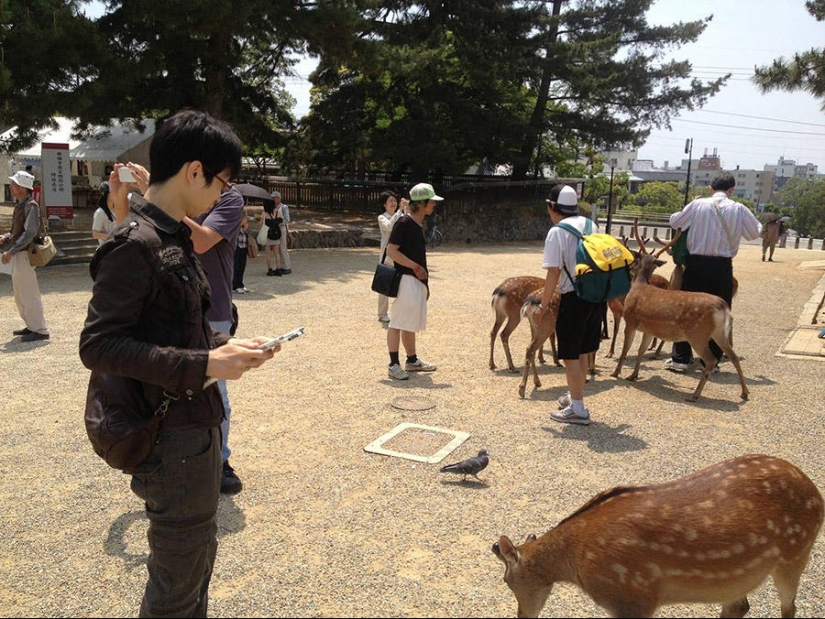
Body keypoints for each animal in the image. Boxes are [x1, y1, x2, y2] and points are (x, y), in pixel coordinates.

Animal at [493, 453, 824, 619]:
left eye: (506, 581)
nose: (521, 616)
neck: (576, 563)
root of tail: (817, 495)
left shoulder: (634, 599)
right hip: (739, 577)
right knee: (739, 607)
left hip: (795, 554)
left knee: (789, 607)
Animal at [610, 230, 749, 402]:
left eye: (634, 262)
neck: (638, 285)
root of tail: (723, 307)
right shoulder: (649, 329)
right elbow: (641, 350)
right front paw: (633, 375)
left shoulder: (631, 320)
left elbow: (626, 348)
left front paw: (616, 372)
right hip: (718, 333)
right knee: (733, 356)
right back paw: (744, 393)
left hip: (698, 334)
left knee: (711, 360)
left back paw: (695, 394)